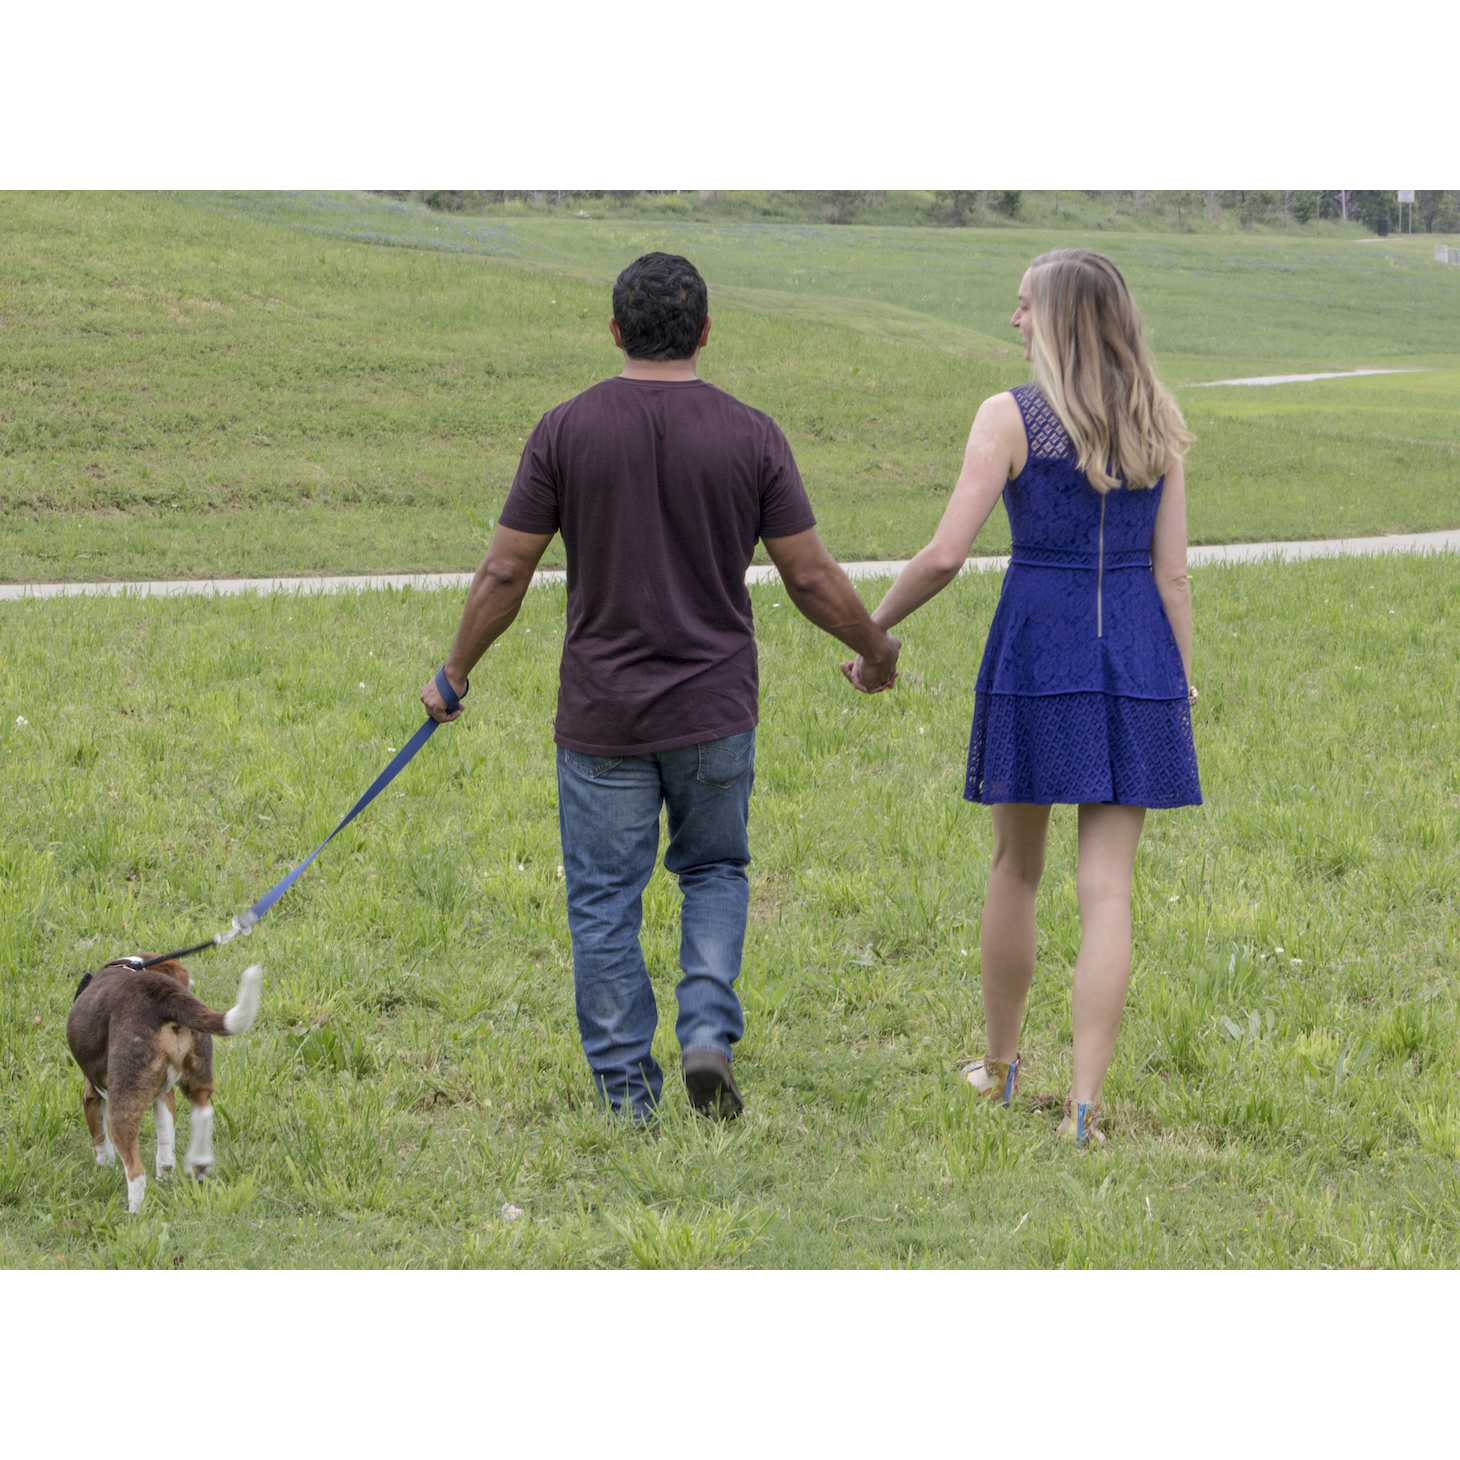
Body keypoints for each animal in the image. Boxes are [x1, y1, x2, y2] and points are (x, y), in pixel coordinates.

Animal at [66, 957, 263, 1214]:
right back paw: (198, 1163)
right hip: (197, 1074)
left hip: (124, 1102)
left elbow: (99, 1137)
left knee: (135, 1170)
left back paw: (135, 1212)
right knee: (202, 1111)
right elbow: (166, 1147)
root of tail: (164, 997)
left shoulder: (91, 1094)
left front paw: (104, 1166)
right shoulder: (164, 1095)